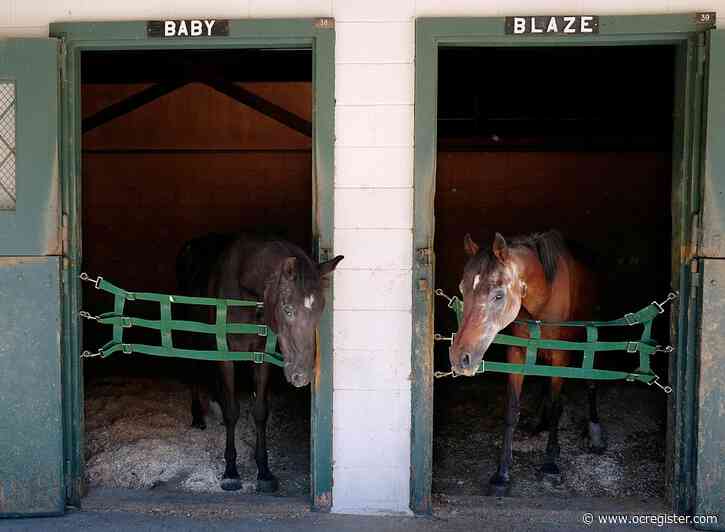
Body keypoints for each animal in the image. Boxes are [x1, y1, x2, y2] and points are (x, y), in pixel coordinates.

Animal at [176, 233, 343, 492]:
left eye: (320, 310)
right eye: (288, 309)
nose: (301, 376)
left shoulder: (261, 355)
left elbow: (260, 411)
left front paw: (264, 472)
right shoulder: (227, 354)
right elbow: (232, 411)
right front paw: (231, 472)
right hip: (190, 331)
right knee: (193, 368)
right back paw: (197, 416)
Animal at [449, 230, 604, 496]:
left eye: (498, 295)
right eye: (462, 288)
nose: (461, 358)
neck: (545, 292)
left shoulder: (561, 355)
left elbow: (556, 405)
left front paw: (550, 466)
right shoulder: (517, 353)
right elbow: (512, 409)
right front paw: (502, 474)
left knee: (590, 382)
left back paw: (594, 432)